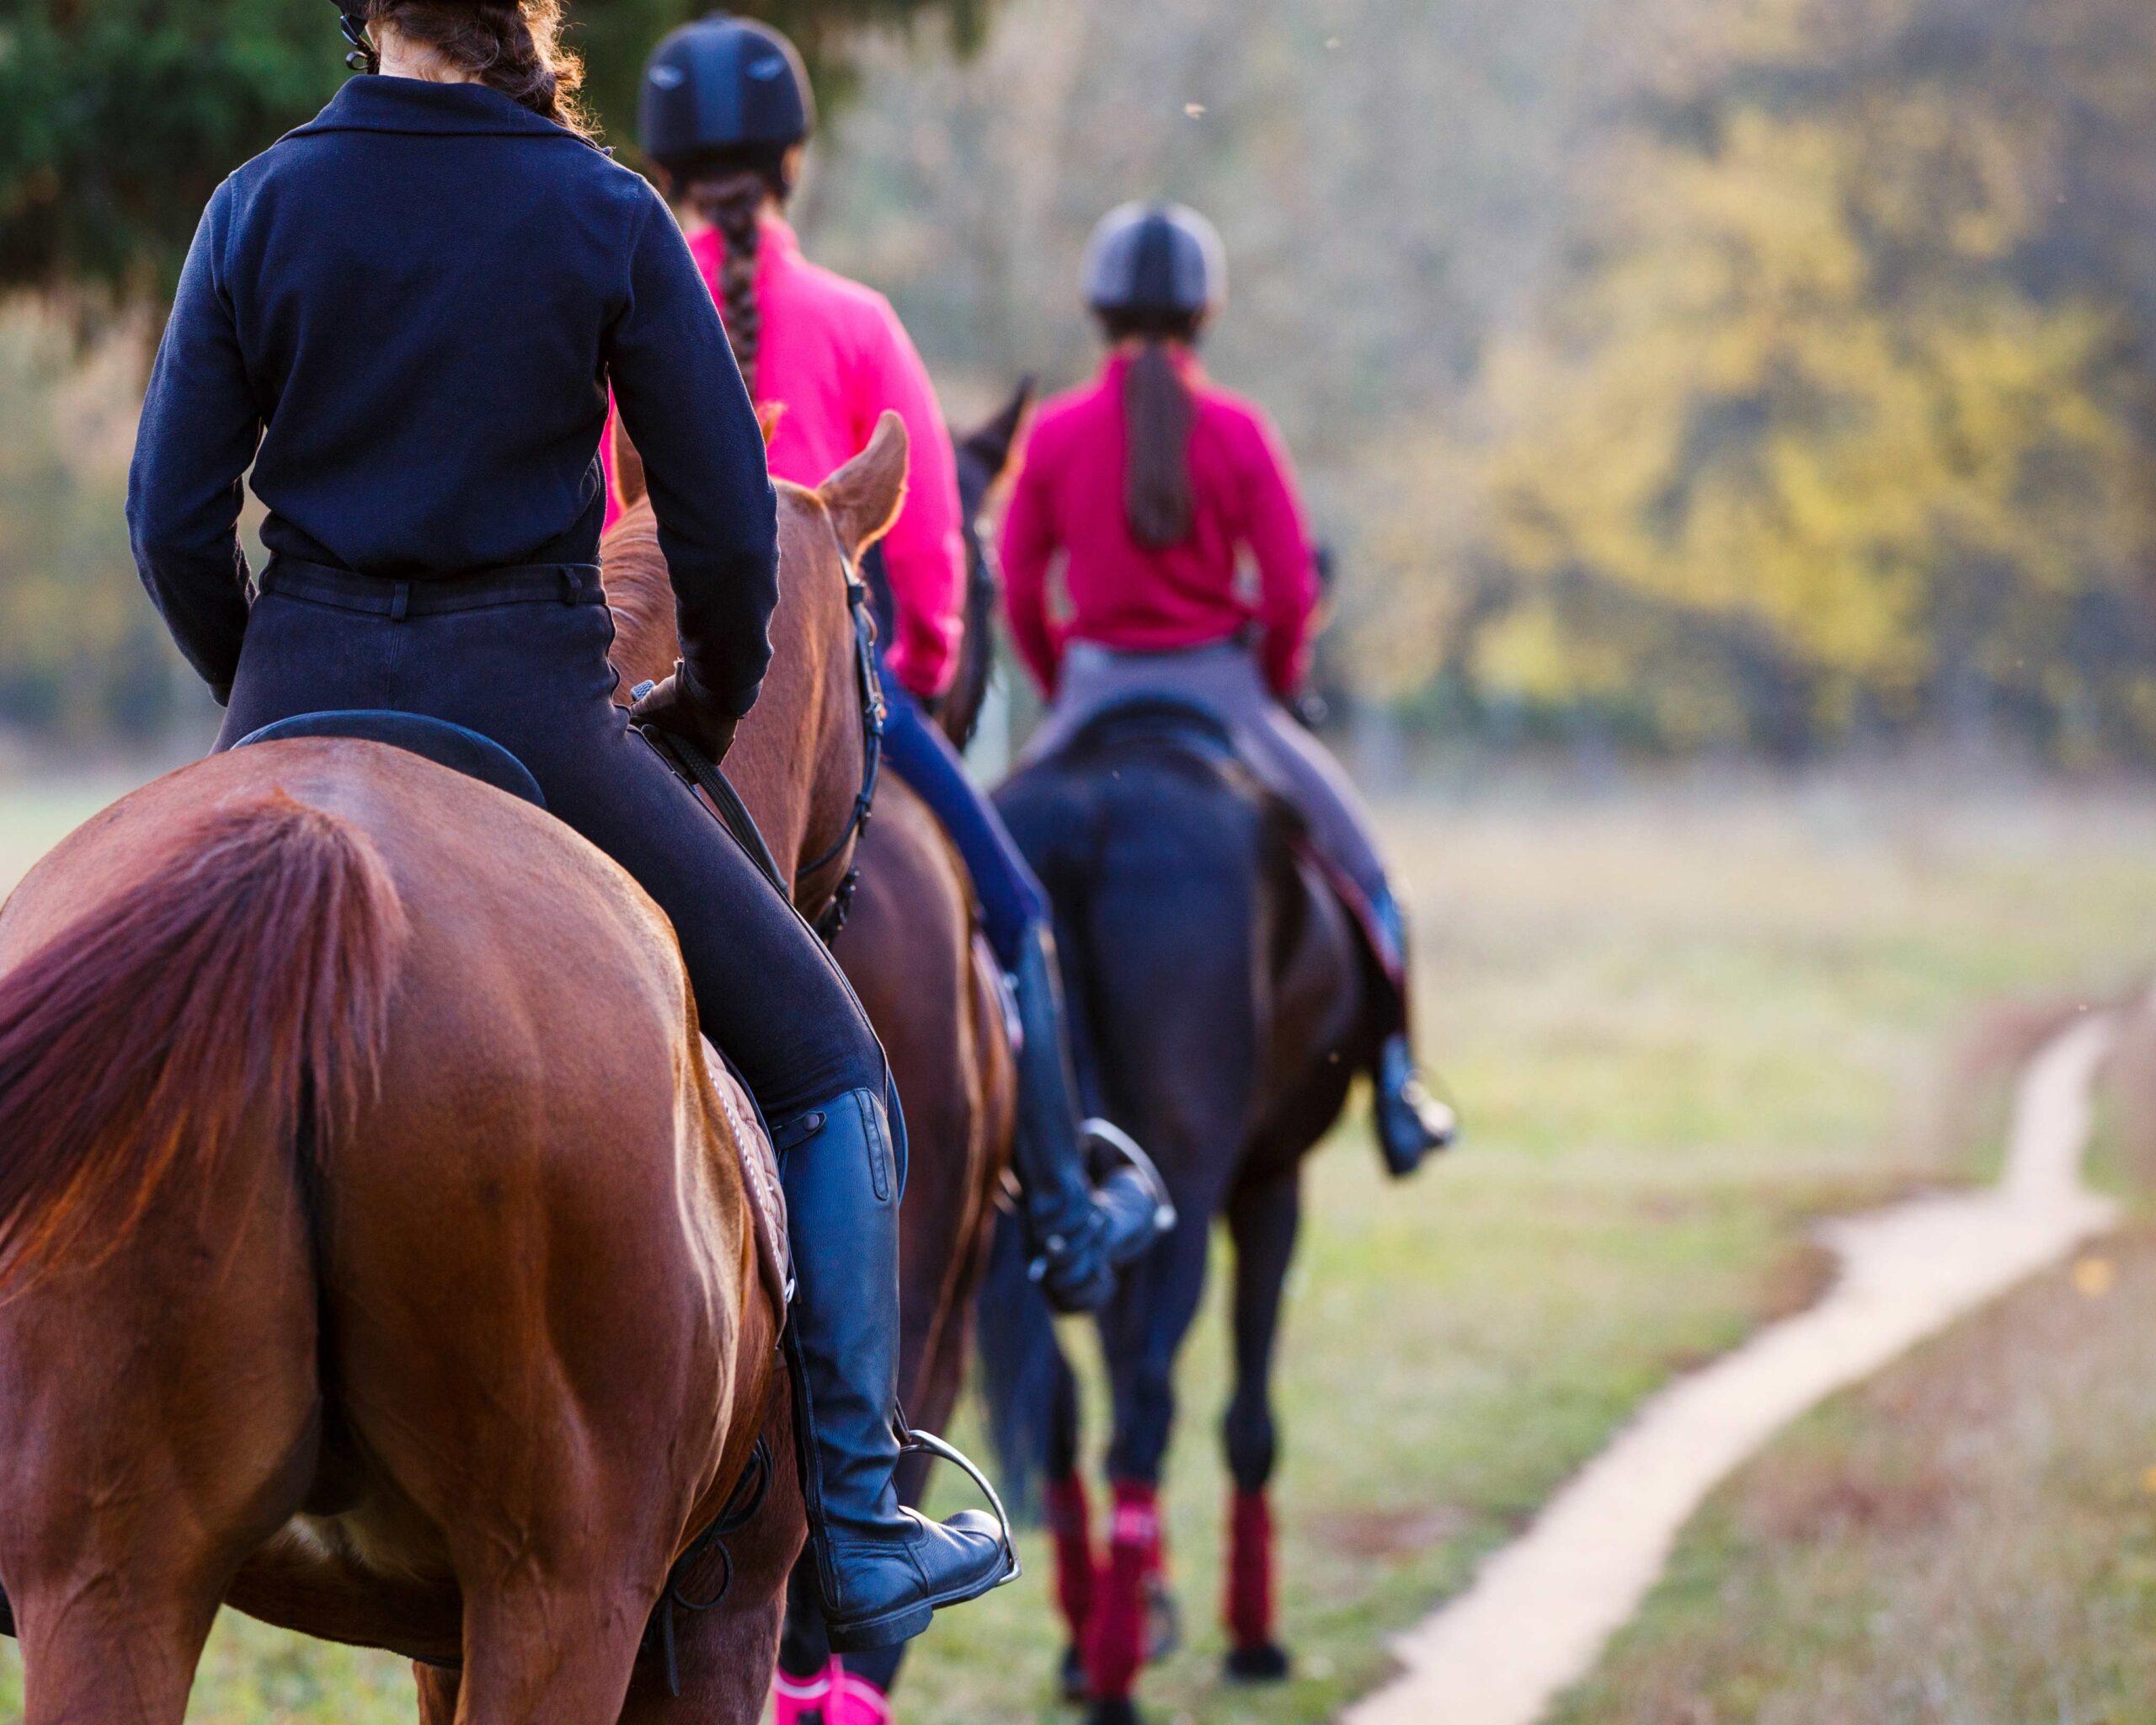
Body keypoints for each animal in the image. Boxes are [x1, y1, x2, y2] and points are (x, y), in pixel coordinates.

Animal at [987, 702, 1388, 1725]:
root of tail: (1085, 811)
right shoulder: (1270, 1185)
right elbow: (1246, 1415)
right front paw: (1248, 1638)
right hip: (1197, 1189)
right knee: (1144, 1412)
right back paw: (1119, 1672)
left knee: (1066, 1405)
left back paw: (1090, 1639)